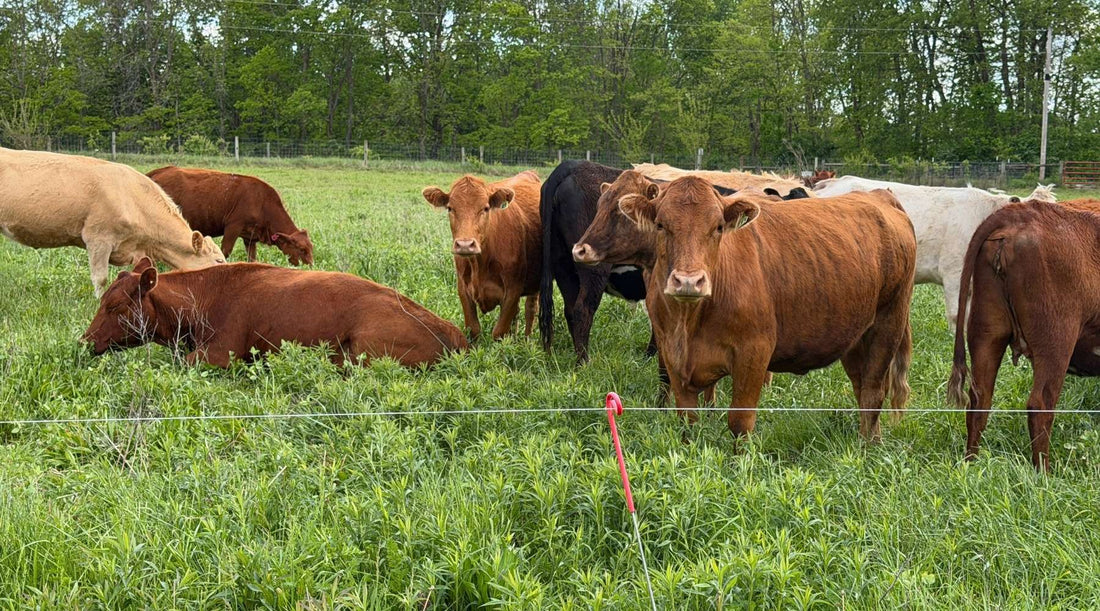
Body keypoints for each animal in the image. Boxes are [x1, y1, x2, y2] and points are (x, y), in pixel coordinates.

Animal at [147, 166, 314, 265]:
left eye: (311, 247)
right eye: (301, 249)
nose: (311, 266)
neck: (262, 203)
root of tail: (159, 171)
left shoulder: (250, 237)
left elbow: (252, 258)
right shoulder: (233, 227)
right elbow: (225, 251)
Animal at [422, 171, 541, 340]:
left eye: (485, 208)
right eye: (450, 208)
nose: (465, 245)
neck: (480, 263)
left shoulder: (513, 290)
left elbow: (499, 332)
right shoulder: (463, 288)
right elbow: (473, 329)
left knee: (530, 309)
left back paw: (527, 340)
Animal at [617, 176, 916, 440]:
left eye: (718, 227)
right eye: (660, 225)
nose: (689, 281)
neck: (690, 322)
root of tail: (878, 195)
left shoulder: (754, 352)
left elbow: (740, 422)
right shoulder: (673, 355)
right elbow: (687, 423)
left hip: (889, 322)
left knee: (873, 392)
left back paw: (867, 449)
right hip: (854, 336)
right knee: (860, 386)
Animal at [948, 199, 1100, 470]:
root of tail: (1022, 212)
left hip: (986, 331)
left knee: (979, 398)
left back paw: (972, 463)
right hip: (1057, 340)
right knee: (1040, 404)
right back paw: (1044, 473)